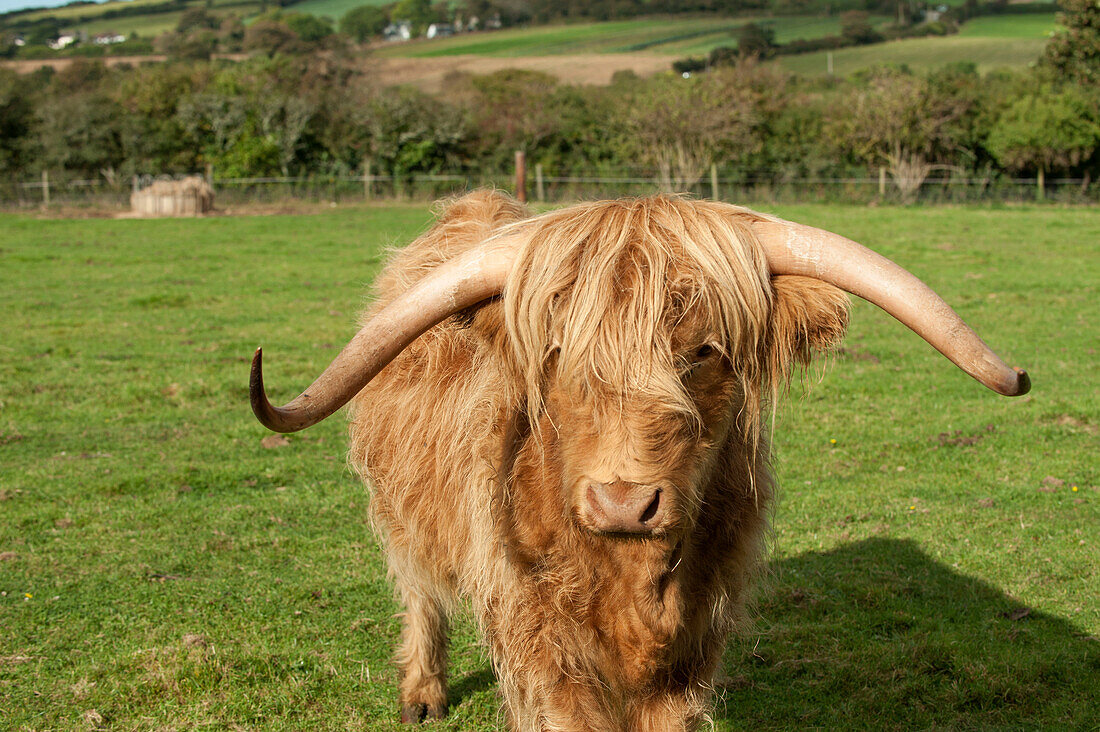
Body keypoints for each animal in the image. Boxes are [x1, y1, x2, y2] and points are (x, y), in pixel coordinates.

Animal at [247, 191, 1020, 726]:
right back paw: (422, 696)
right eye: (557, 353)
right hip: (401, 519)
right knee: (420, 593)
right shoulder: (543, 647)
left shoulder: (695, 644)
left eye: (705, 350)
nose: (622, 502)